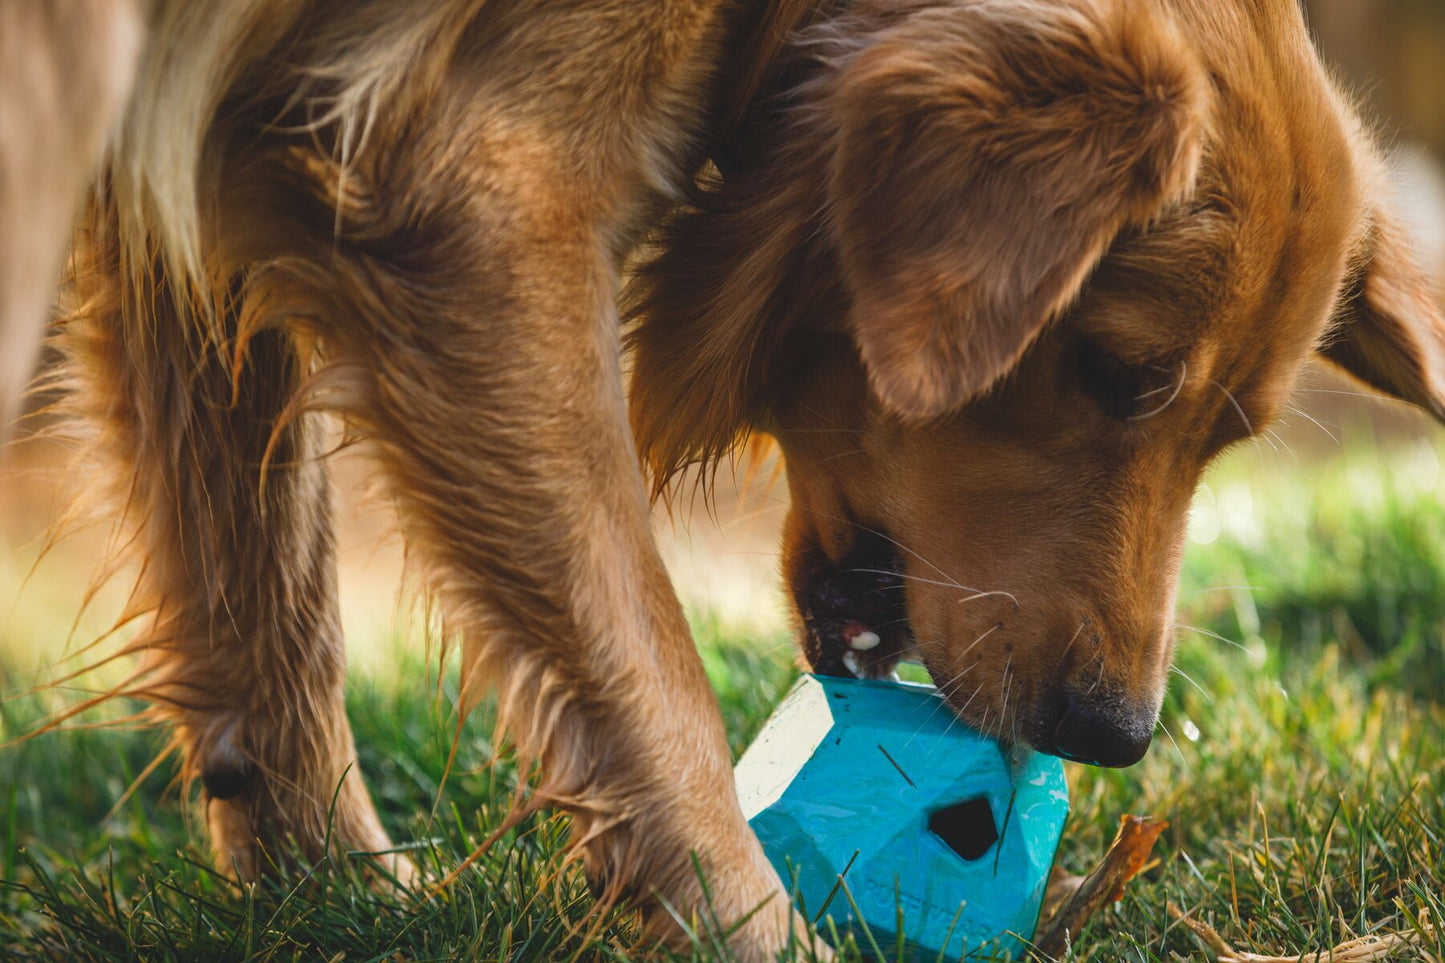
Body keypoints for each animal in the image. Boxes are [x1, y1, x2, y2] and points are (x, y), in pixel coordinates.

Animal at [0, 0, 1439, 954]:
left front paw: (324, 893)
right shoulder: (475, 185)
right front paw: (751, 925)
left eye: (1223, 439)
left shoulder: (206, 155)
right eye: (1116, 370)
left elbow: (265, 594)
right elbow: (646, 674)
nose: (1114, 734)